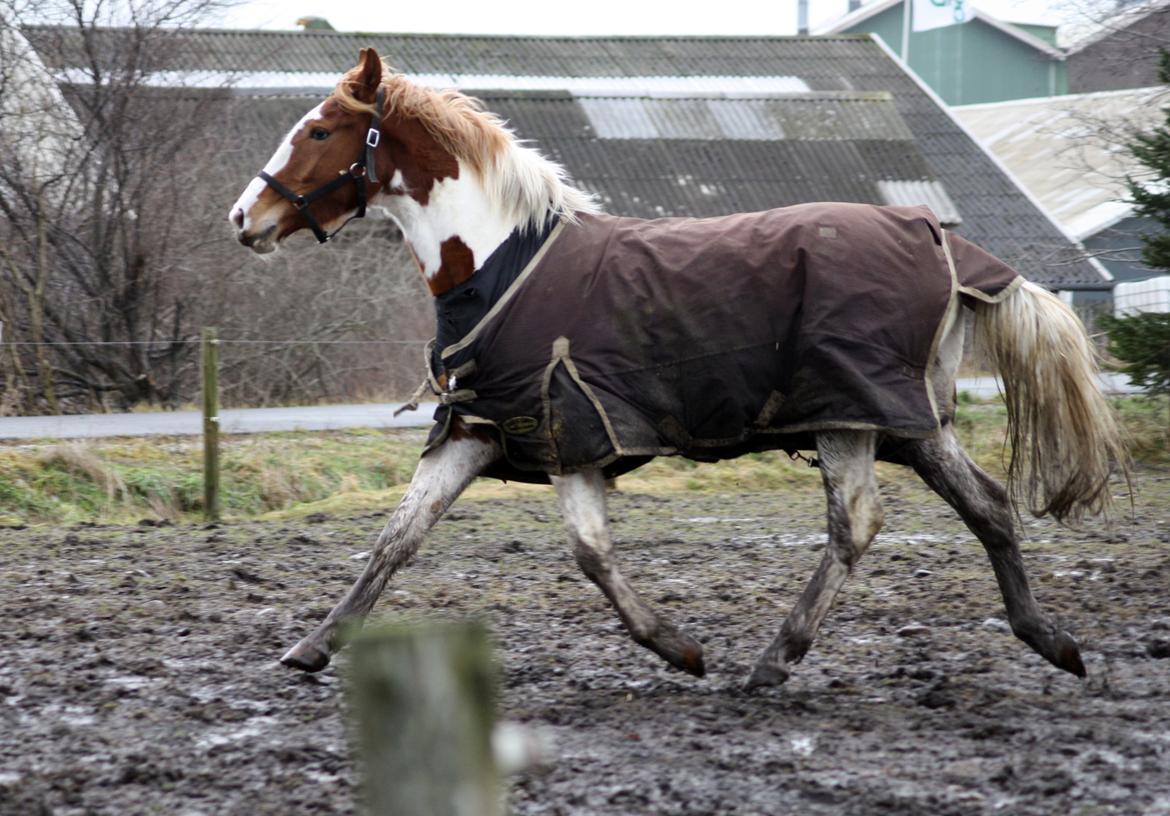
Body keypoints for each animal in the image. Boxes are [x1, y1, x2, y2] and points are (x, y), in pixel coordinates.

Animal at [223, 49, 1127, 688]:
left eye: (319, 131)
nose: (243, 217)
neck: (499, 260)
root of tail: (935, 234)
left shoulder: (570, 435)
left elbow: (590, 554)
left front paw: (682, 651)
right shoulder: (479, 432)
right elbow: (395, 540)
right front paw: (309, 647)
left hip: (847, 415)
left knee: (857, 524)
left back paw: (775, 659)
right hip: (908, 420)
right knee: (990, 505)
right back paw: (1051, 642)